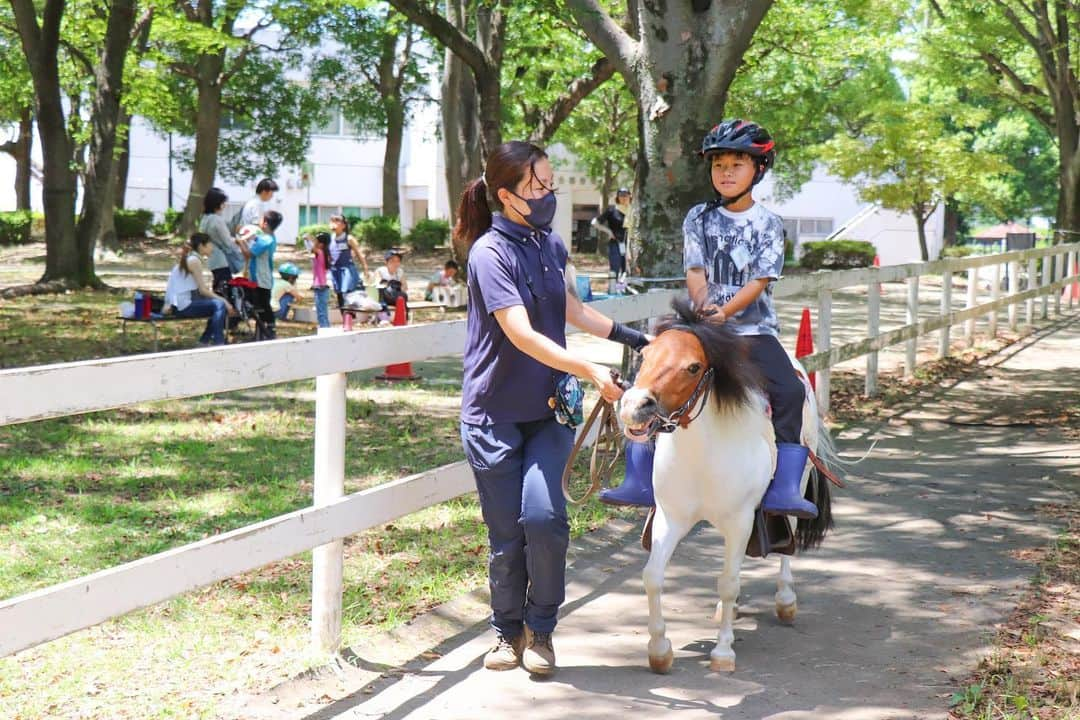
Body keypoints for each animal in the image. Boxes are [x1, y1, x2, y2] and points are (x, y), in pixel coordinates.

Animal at [617, 300, 833, 677]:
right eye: (646, 355)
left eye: (693, 367)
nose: (634, 407)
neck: (703, 453)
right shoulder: (671, 519)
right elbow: (653, 576)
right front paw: (659, 650)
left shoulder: (740, 520)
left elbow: (729, 583)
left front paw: (722, 652)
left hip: (797, 485)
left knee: (787, 543)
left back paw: (785, 600)